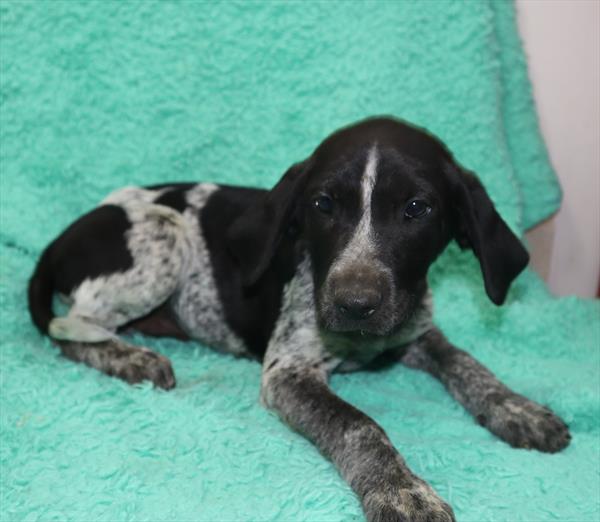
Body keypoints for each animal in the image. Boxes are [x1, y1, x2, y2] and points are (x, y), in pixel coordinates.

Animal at [29, 118, 572, 520]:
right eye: (323, 204)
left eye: (417, 208)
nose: (354, 303)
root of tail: (60, 238)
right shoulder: (288, 374)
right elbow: (359, 425)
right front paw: (402, 492)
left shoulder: (416, 332)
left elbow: (467, 364)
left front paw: (517, 409)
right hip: (166, 234)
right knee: (71, 329)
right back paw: (133, 359)